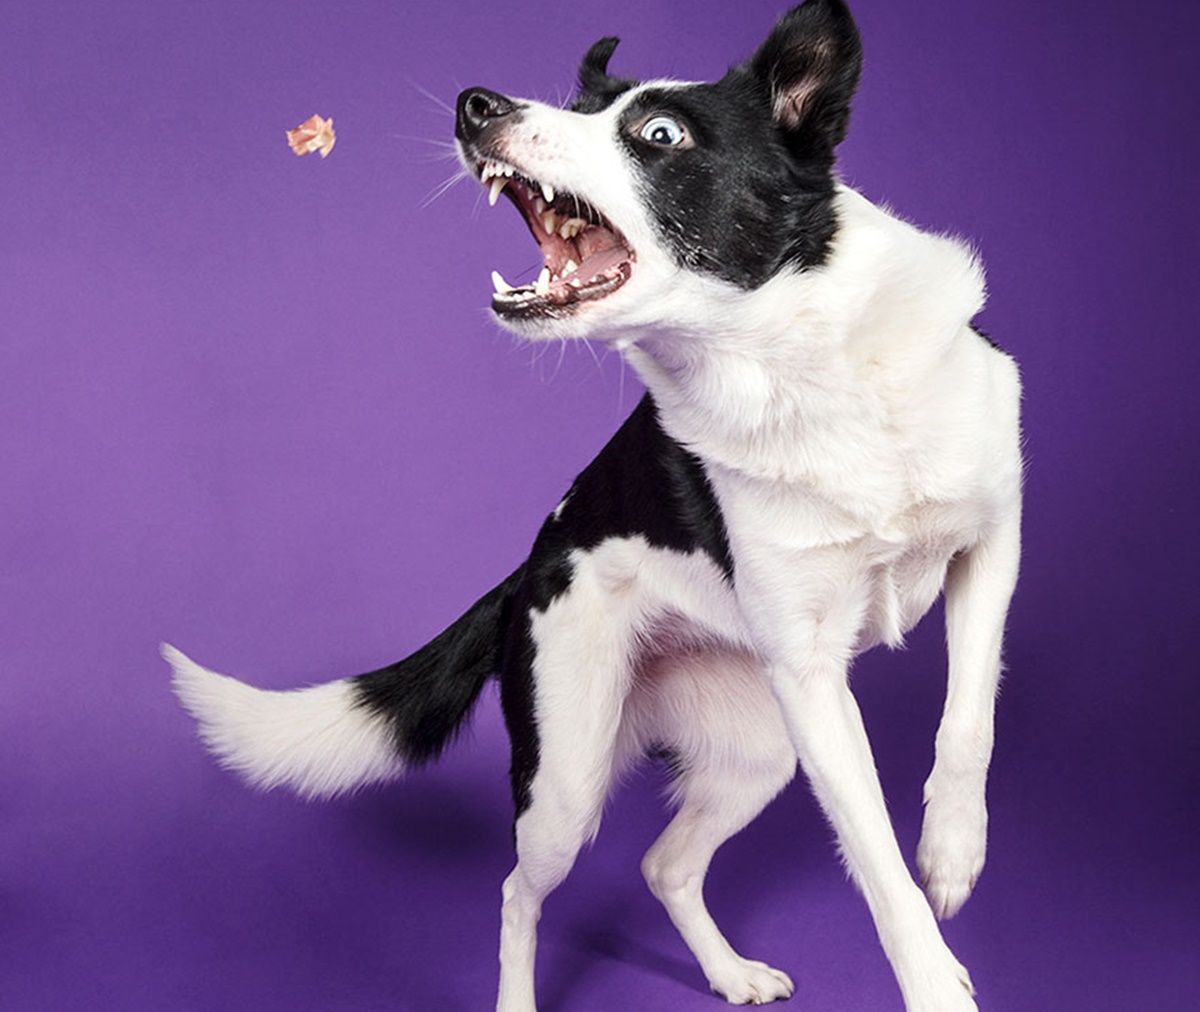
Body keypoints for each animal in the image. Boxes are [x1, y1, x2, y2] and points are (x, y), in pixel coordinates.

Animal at [164, 3, 1017, 1008]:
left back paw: (728, 973)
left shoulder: (991, 546)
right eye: (577, 110)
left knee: (664, 866)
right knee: (518, 893)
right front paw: (934, 973)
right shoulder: (811, 679)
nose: (477, 104)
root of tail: (530, 566)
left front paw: (953, 853)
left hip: (762, 748)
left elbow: (969, 719)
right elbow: (878, 866)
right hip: (571, 773)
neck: (794, 366)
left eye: (660, 134)